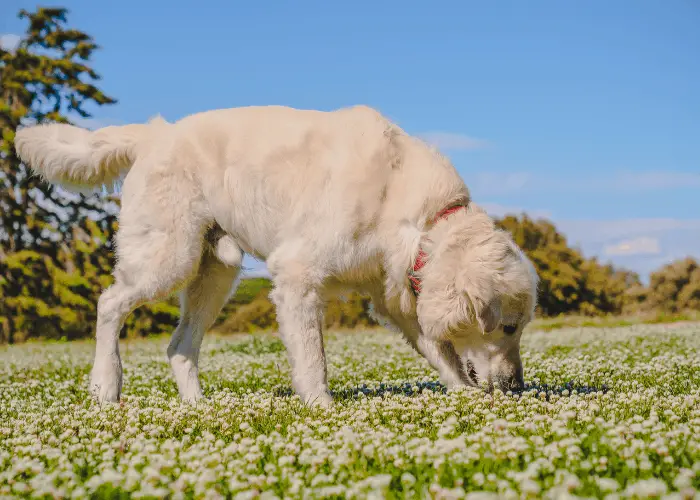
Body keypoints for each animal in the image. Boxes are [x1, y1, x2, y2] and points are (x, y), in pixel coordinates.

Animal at [16, 105, 540, 406]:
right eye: (508, 328)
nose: (517, 386)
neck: (417, 215)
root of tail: (155, 132)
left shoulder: (395, 297)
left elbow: (442, 352)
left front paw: (464, 396)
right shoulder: (297, 275)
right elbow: (313, 358)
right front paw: (321, 408)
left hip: (214, 275)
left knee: (179, 345)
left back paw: (197, 407)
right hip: (168, 259)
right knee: (109, 303)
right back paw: (106, 385)